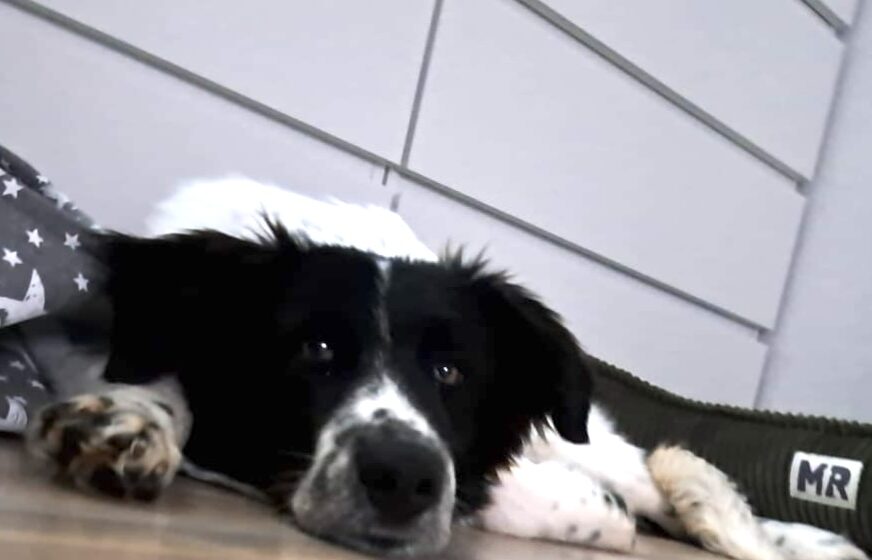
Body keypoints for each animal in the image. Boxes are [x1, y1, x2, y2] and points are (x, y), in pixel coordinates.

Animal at [26, 179, 867, 560]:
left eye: (453, 373)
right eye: (314, 351)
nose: (404, 479)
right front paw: (129, 422)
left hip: (602, 449)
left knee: (694, 501)